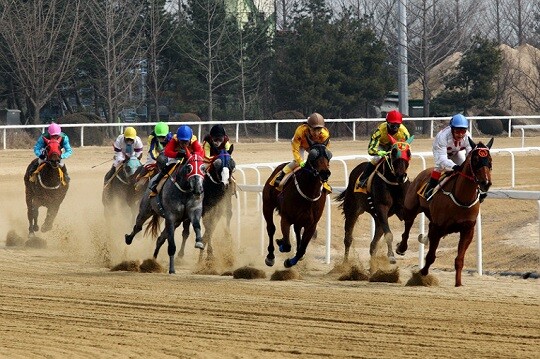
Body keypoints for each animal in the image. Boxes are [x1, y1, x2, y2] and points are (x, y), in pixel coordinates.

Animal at [262, 139, 332, 268]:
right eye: (312, 155)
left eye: (329, 154)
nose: (325, 173)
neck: (309, 193)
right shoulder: (286, 218)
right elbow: (287, 245)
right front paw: (280, 243)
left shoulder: (311, 224)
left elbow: (302, 250)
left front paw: (290, 261)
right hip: (267, 205)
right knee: (271, 228)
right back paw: (270, 256)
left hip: (300, 219)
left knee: (297, 230)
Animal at [336, 135, 416, 264]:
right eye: (393, 152)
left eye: (408, 153)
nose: (401, 176)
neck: (394, 184)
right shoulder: (382, 208)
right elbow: (388, 234)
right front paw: (391, 256)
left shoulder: (403, 209)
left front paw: (401, 248)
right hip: (353, 210)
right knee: (348, 238)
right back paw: (345, 264)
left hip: (377, 218)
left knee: (373, 245)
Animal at [396, 138, 494, 286]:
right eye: (476, 159)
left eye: (490, 160)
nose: (485, 183)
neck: (461, 198)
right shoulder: (437, 227)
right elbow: (430, 256)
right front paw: (421, 275)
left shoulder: (467, 230)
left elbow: (459, 259)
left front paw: (458, 283)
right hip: (411, 207)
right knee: (407, 226)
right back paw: (401, 247)